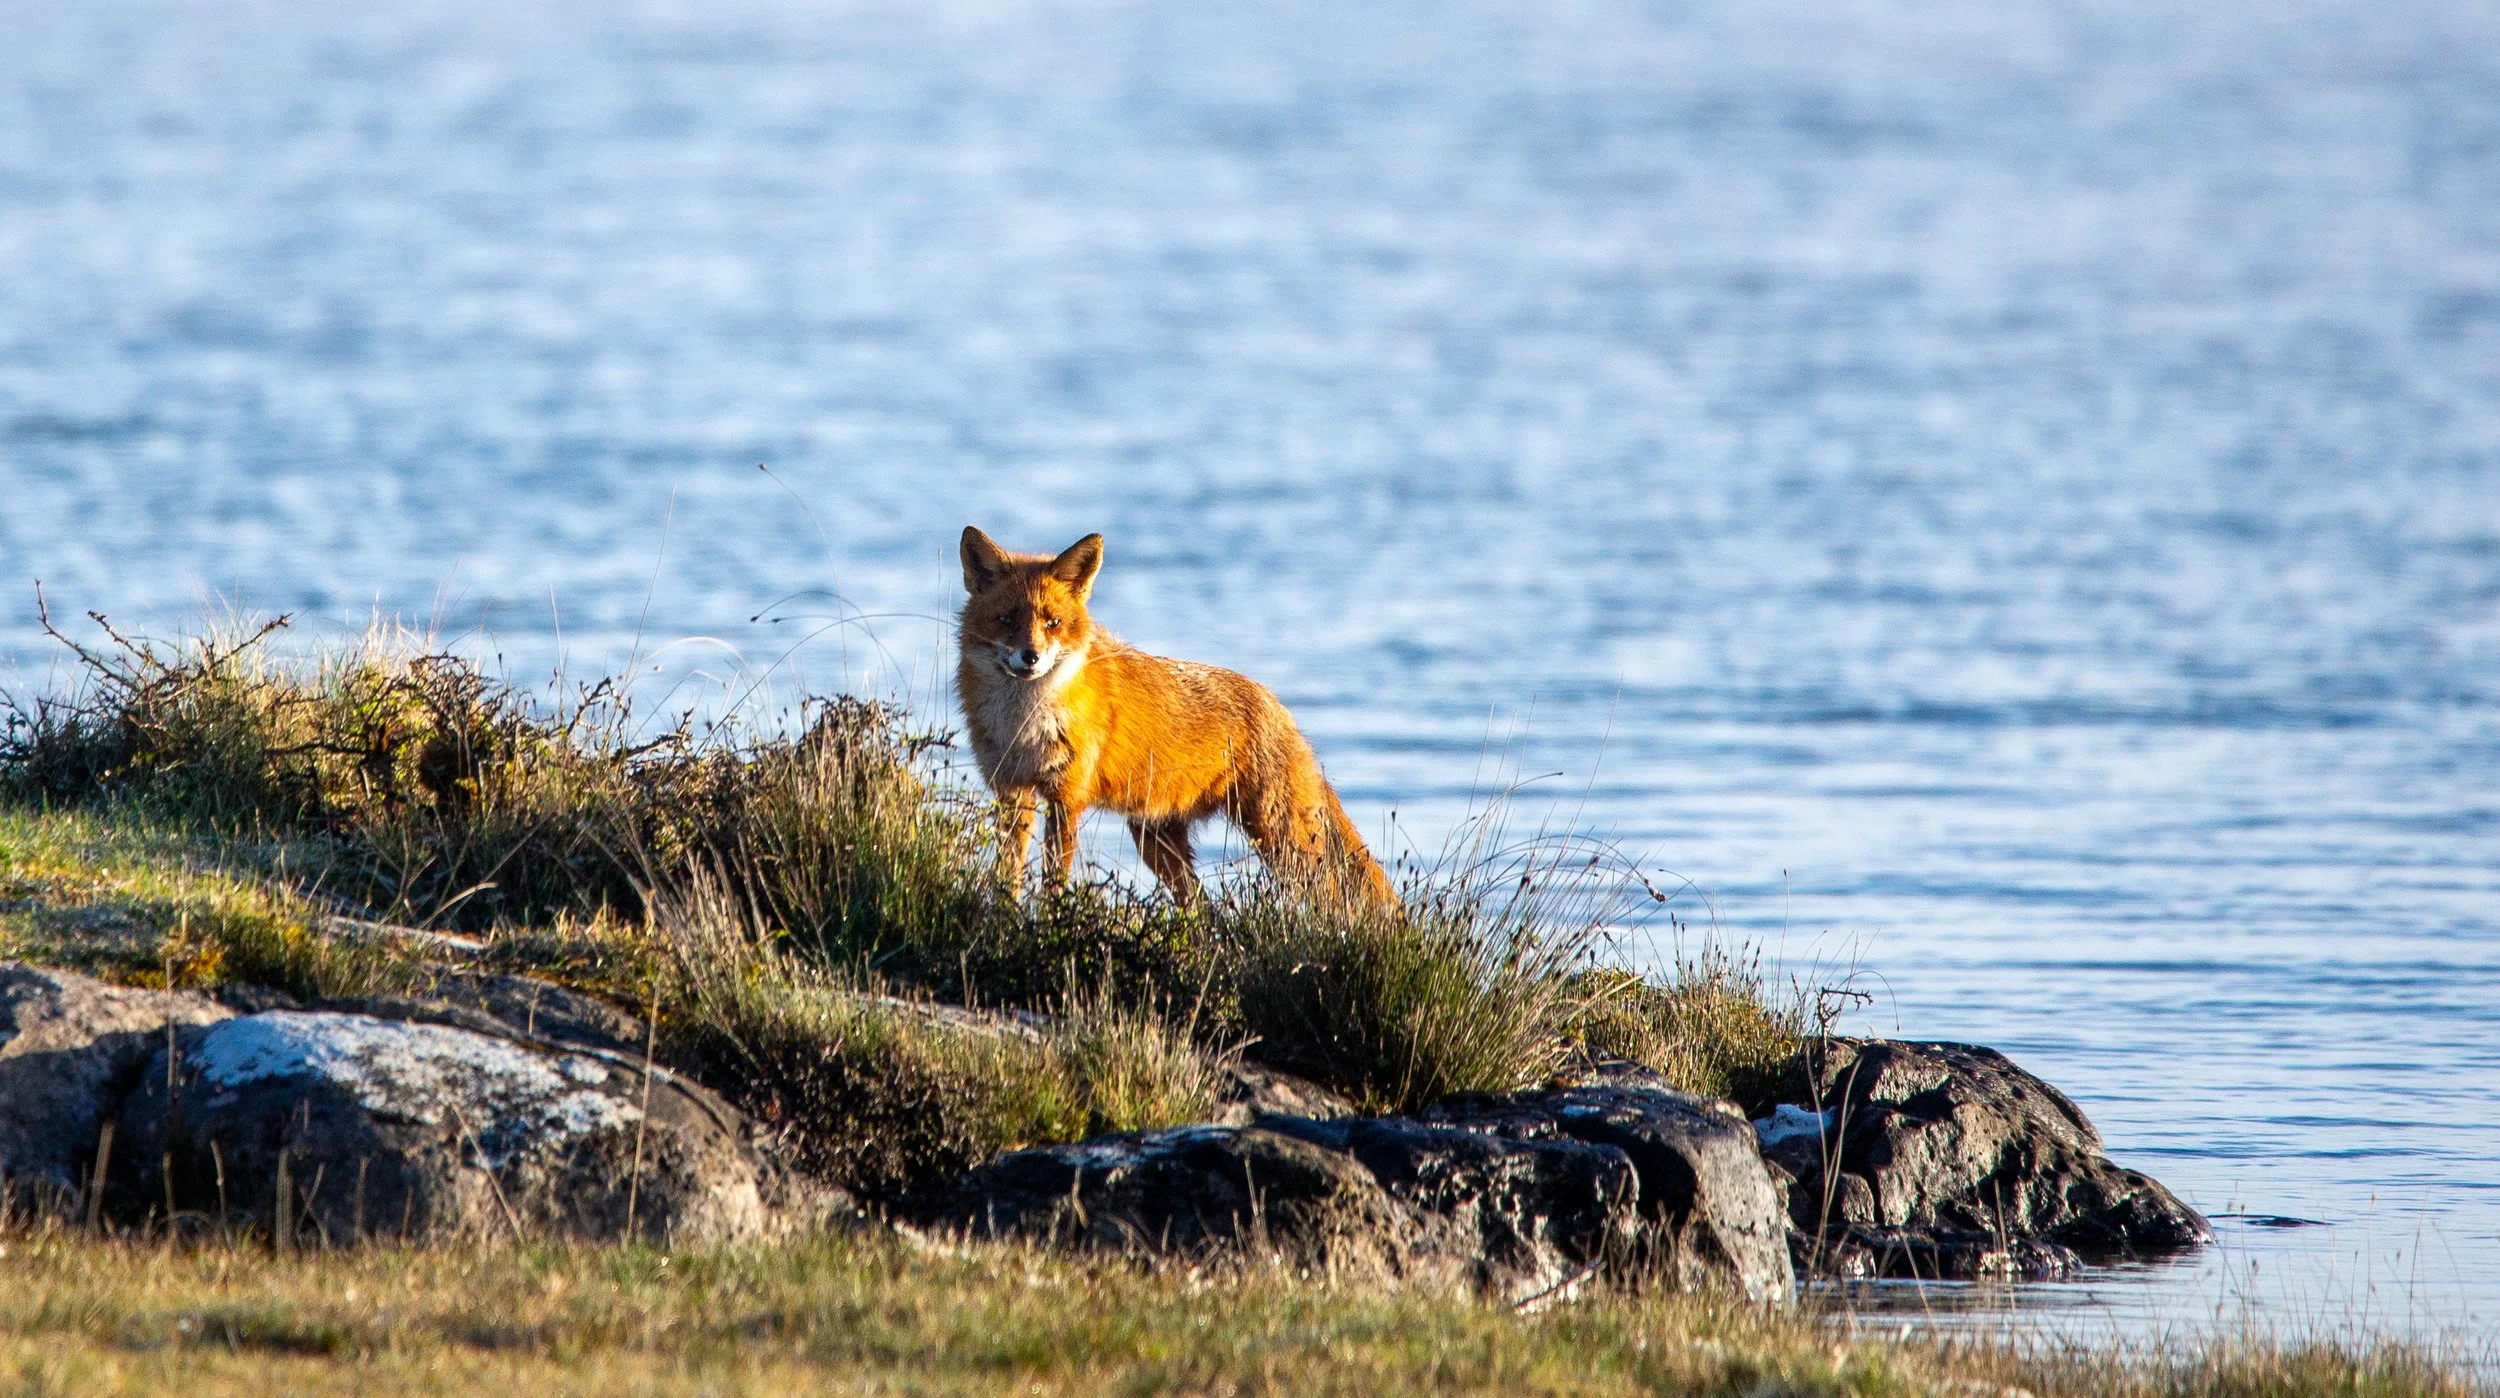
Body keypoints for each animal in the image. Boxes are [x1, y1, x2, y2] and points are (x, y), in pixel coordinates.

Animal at [955, 526, 1397, 906]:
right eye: (1006, 619)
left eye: (1053, 623)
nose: (1030, 657)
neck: (1023, 725)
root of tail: (1276, 704)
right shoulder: (1012, 792)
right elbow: (1008, 874)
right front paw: (1005, 918)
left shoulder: (1067, 799)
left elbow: (1053, 885)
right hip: (1159, 844)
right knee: (1205, 910)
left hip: (1283, 841)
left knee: (1332, 895)